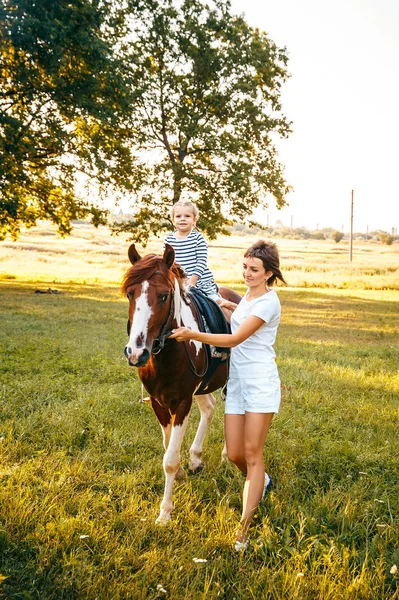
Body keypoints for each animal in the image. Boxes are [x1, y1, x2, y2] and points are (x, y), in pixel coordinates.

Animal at [122, 244, 242, 524]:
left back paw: (225, 457)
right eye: (130, 294)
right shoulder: (158, 403)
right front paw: (180, 475)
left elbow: (169, 460)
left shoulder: (182, 402)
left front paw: (165, 513)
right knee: (208, 408)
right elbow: (168, 449)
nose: (136, 353)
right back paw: (196, 458)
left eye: (164, 296)